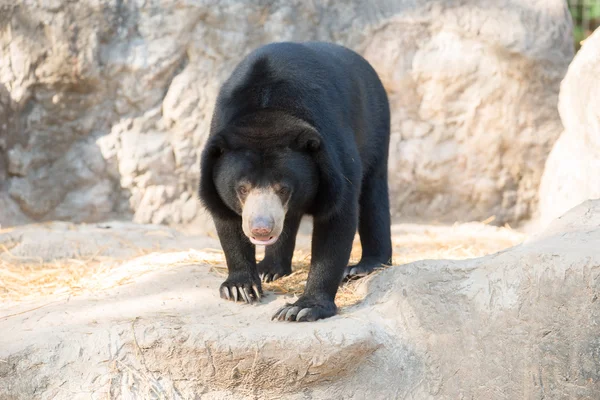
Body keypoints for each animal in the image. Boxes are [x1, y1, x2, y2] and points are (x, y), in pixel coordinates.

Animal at [199, 41, 392, 322]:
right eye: (242, 189)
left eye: (283, 189)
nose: (261, 229)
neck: (267, 110)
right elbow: (226, 218)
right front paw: (240, 287)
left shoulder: (332, 154)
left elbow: (337, 219)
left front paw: (302, 308)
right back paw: (270, 268)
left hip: (375, 125)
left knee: (372, 194)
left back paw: (365, 266)